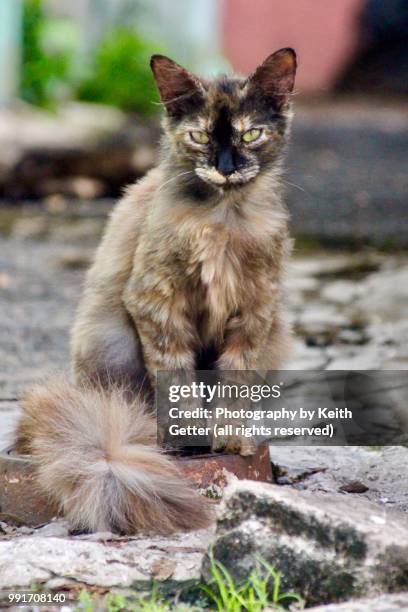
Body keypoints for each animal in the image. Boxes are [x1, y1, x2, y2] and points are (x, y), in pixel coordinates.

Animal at [15, 49, 296, 536]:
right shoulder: (157, 302)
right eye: (199, 136)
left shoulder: (255, 312)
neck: (223, 219)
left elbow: (235, 381)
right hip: (108, 342)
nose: (225, 167)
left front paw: (230, 437)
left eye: (251, 134)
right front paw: (187, 437)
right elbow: (178, 379)